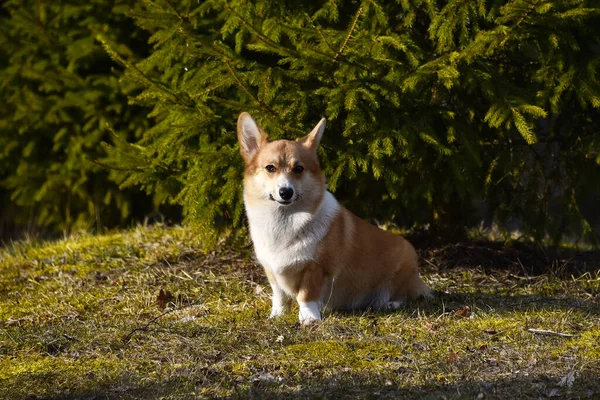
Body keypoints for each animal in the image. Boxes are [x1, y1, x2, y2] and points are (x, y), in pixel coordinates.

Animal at [238, 111, 432, 324]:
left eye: (299, 169)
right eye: (270, 168)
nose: (286, 192)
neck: (283, 221)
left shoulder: (315, 267)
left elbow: (306, 295)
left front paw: (309, 318)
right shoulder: (271, 270)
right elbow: (279, 296)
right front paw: (277, 315)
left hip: (400, 272)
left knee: (405, 296)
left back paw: (389, 304)